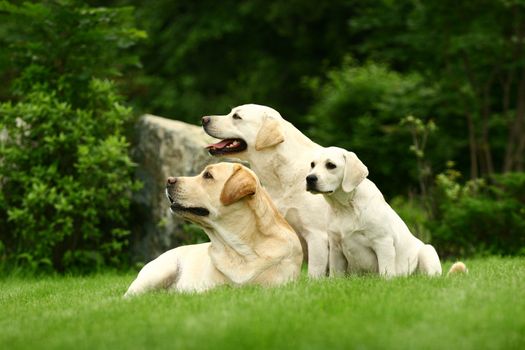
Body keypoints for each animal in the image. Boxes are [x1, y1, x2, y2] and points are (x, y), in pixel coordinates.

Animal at [304, 146, 464, 278]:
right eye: (312, 164)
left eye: (331, 165)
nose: (310, 178)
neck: (346, 207)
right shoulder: (336, 247)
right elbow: (336, 274)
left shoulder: (383, 242)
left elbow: (385, 272)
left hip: (427, 251)